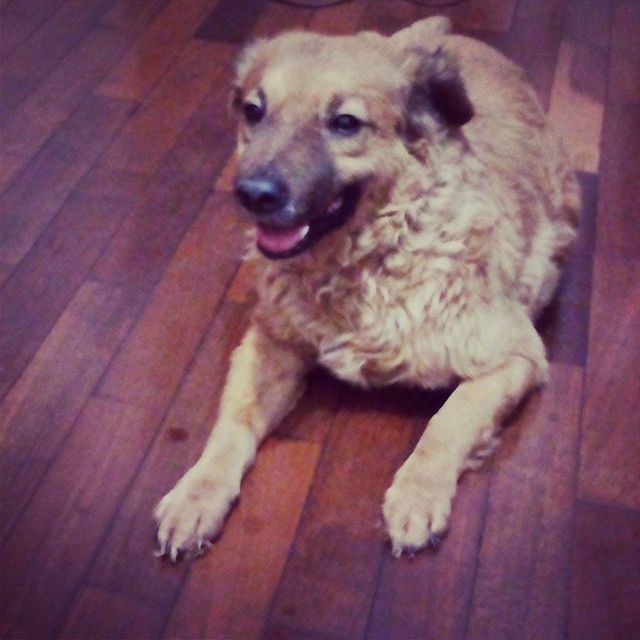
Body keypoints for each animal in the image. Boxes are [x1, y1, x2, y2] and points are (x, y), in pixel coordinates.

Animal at [155, 16, 580, 560]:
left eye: (345, 123)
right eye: (254, 111)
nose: (251, 195)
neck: (366, 259)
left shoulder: (514, 357)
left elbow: (447, 422)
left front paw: (417, 496)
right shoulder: (270, 344)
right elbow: (233, 422)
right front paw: (197, 494)